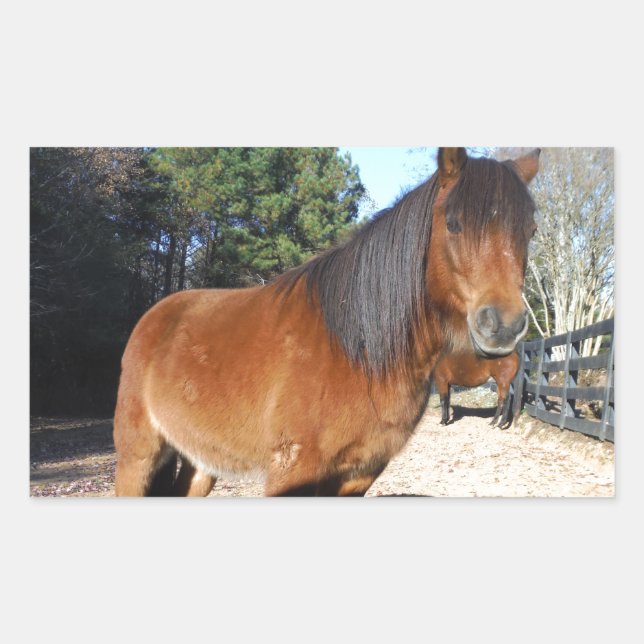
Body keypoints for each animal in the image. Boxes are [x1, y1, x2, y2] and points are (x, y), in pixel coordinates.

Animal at [113, 147, 540, 496]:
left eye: (530, 230)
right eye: (453, 223)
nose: (503, 324)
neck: (358, 351)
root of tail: (154, 317)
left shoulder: (358, 475)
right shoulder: (294, 472)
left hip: (201, 460)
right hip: (137, 458)